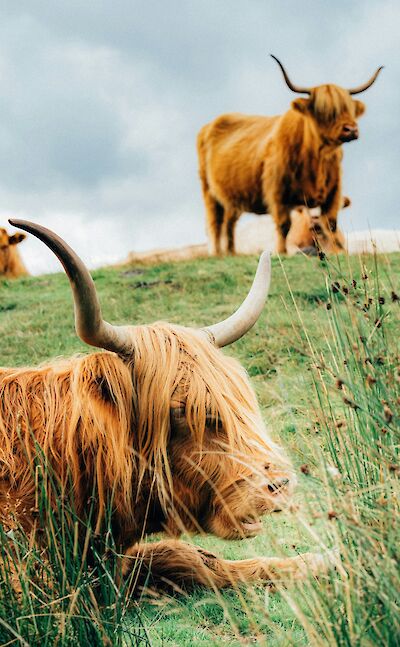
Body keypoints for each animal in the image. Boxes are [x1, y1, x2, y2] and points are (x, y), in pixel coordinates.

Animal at [198, 54, 382, 256]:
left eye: (349, 108)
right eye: (322, 110)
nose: (351, 130)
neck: (317, 158)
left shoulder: (334, 191)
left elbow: (331, 223)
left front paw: (339, 250)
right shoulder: (277, 191)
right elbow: (284, 224)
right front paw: (282, 252)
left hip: (233, 196)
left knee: (230, 223)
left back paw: (231, 252)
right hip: (210, 192)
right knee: (216, 222)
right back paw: (217, 253)